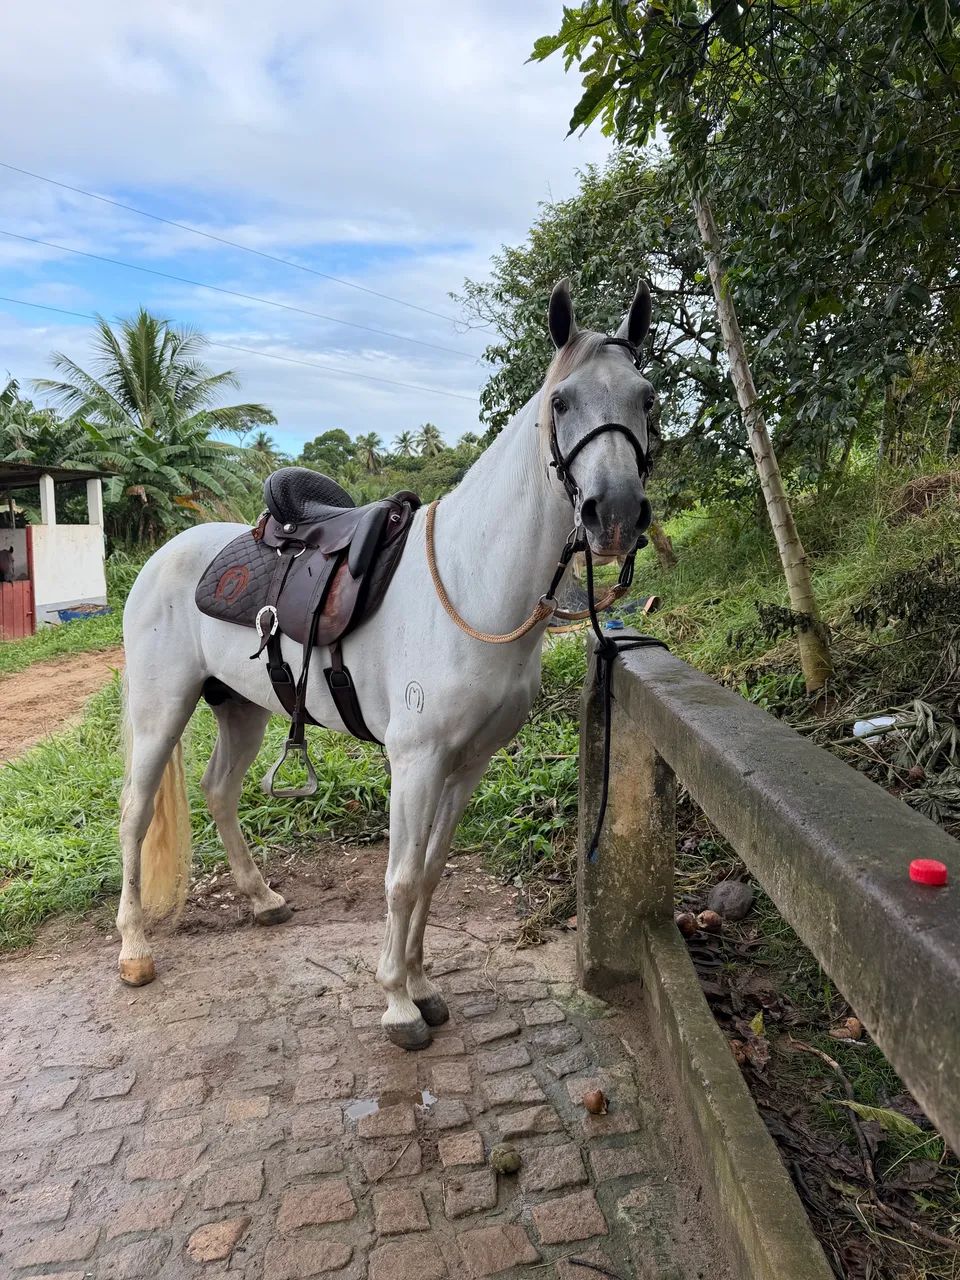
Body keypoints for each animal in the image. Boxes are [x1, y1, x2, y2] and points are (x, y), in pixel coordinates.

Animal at [117, 278, 657, 1050]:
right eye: (562, 402)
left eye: (646, 397)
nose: (613, 514)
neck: (470, 582)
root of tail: (164, 552)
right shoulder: (417, 760)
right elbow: (400, 879)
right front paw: (398, 1003)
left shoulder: (468, 763)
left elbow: (430, 873)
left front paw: (423, 985)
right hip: (161, 712)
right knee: (134, 815)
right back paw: (134, 949)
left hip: (243, 708)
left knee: (219, 791)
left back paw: (261, 898)